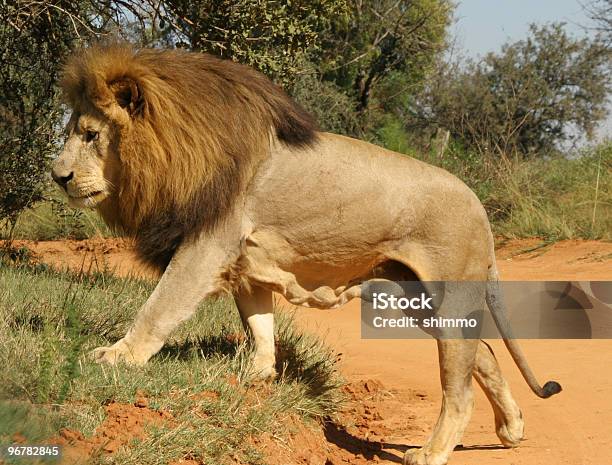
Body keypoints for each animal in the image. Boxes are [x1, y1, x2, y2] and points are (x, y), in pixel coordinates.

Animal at [52, 44, 560, 465]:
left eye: (91, 135)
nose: (57, 176)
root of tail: (480, 208)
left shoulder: (205, 245)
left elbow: (157, 308)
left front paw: (117, 357)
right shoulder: (245, 262)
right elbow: (259, 326)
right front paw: (255, 376)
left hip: (447, 293)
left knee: (460, 388)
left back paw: (431, 453)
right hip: (415, 296)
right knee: (486, 354)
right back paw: (511, 429)